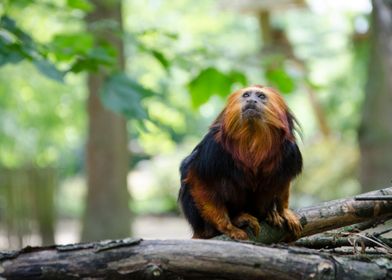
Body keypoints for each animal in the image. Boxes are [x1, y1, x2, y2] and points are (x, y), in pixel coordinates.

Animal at [178, 84, 304, 240]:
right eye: (246, 95)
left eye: (261, 96)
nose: (251, 100)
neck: (253, 137)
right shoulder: (213, 147)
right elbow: (196, 177)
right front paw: (227, 226)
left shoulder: (289, 152)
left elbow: (283, 180)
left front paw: (284, 211)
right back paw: (236, 219)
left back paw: (269, 214)